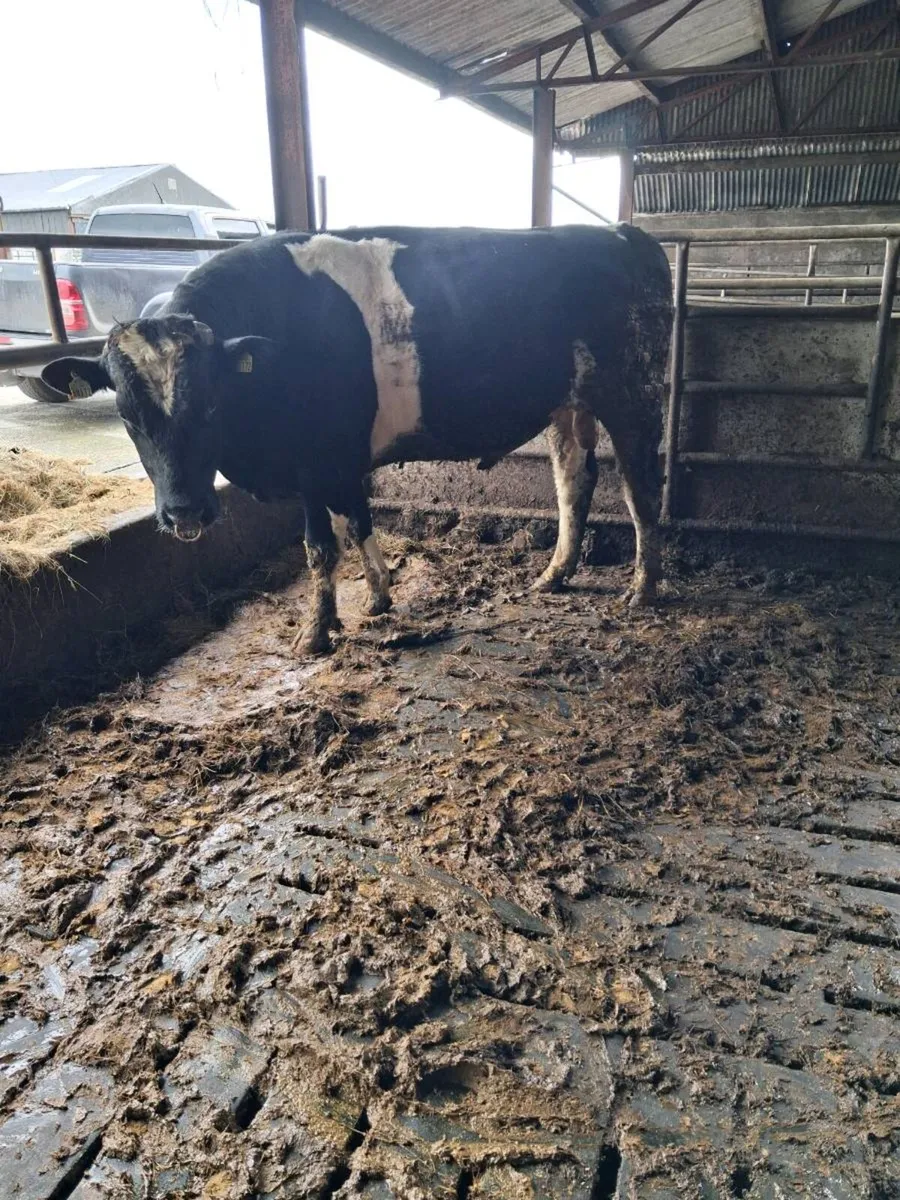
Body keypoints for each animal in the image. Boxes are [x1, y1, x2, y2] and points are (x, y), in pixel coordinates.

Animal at [42, 226, 673, 655]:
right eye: (126, 415)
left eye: (213, 404)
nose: (184, 513)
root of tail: (622, 232)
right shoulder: (339, 462)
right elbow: (359, 521)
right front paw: (377, 598)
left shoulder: (312, 463)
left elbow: (321, 547)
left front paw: (315, 634)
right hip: (569, 403)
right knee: (574, 482)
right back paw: (554, 575)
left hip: (636, 397)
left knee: (641, 491)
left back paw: (643, 590)